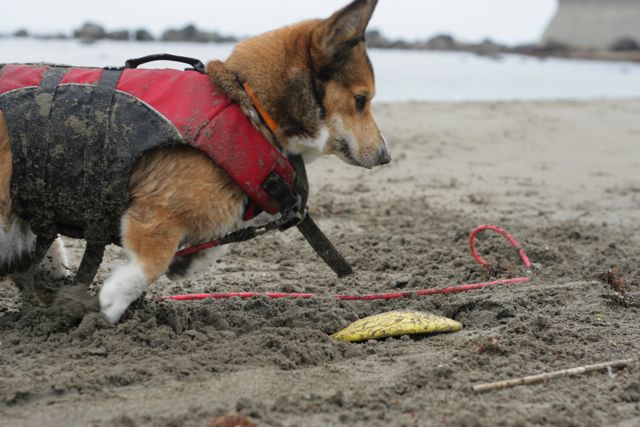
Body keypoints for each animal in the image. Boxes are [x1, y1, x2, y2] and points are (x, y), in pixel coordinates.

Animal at [0, 0, 390, 322]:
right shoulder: (156, 214)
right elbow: (150, 264)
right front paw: (113, 300)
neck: (250, 104)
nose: (386, 156)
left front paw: (188, 261)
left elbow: (213, 244)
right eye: (361, 100)